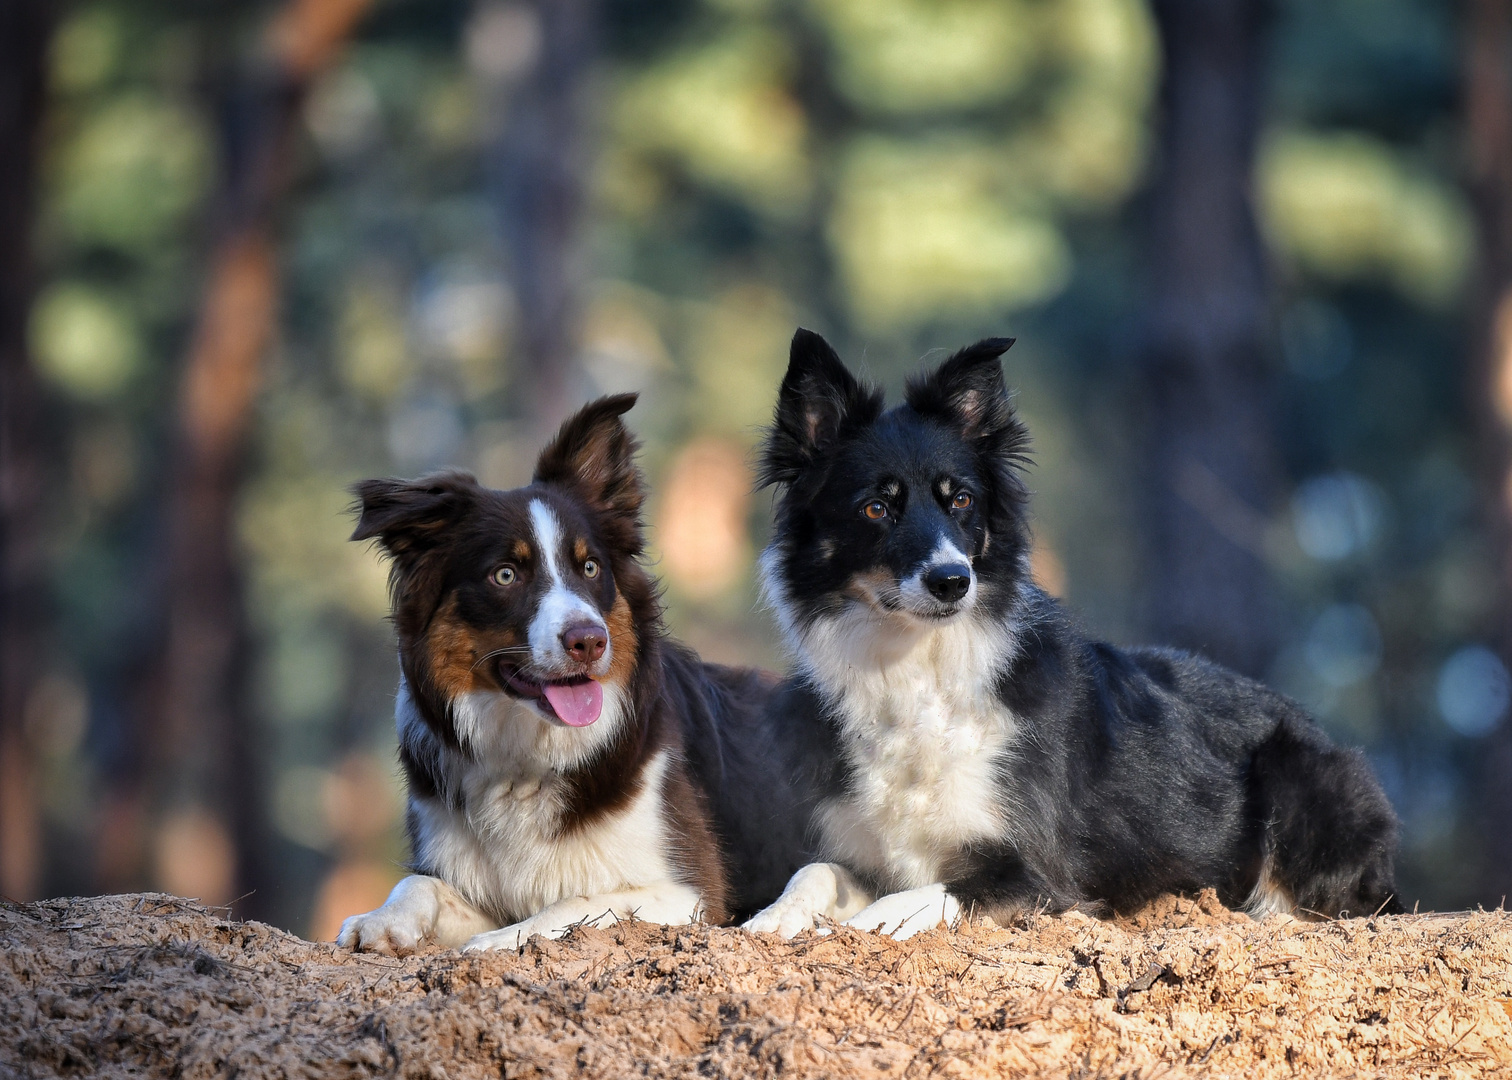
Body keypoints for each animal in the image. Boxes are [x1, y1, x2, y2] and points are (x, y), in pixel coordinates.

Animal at [337, 396, 810, 949]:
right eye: (505, 574)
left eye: (589, 567)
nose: (589, 641)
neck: (529, 760)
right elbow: (418, 882)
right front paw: (381, 919)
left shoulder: (692, 894)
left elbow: (574, 901)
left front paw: (498, 942)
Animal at [740, 332, 1391, 937]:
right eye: (876, 508)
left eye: (962, 500)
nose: (953, 581)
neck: (919, 670)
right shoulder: (866, 852)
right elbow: (814, 871)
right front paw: (769, 919)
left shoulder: (1040, 876)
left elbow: (922, 898)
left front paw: (862, 927)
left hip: (1302, 778)